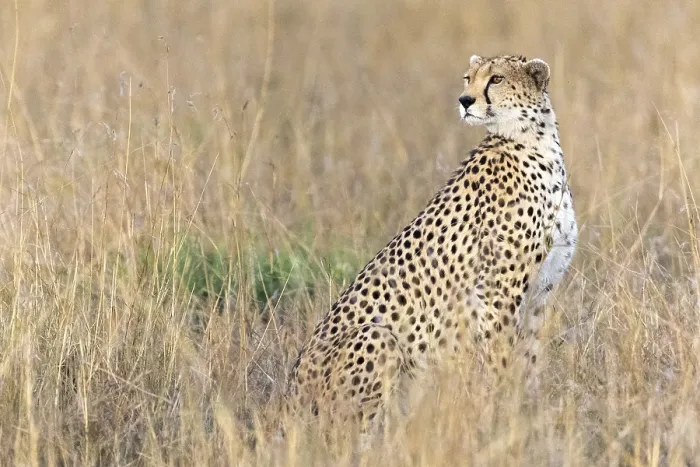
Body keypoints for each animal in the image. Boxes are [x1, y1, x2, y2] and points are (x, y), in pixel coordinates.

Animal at [286, 54, 577, 427]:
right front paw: (501, 412)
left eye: (496, 79)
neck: (533, 140)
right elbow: (500, 359)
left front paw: (530, 408)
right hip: (376, 337)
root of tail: (290, 391)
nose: (465, 100)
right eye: (468, 78)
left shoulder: (540, 290)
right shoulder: (497, 291)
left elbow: (531, 357)